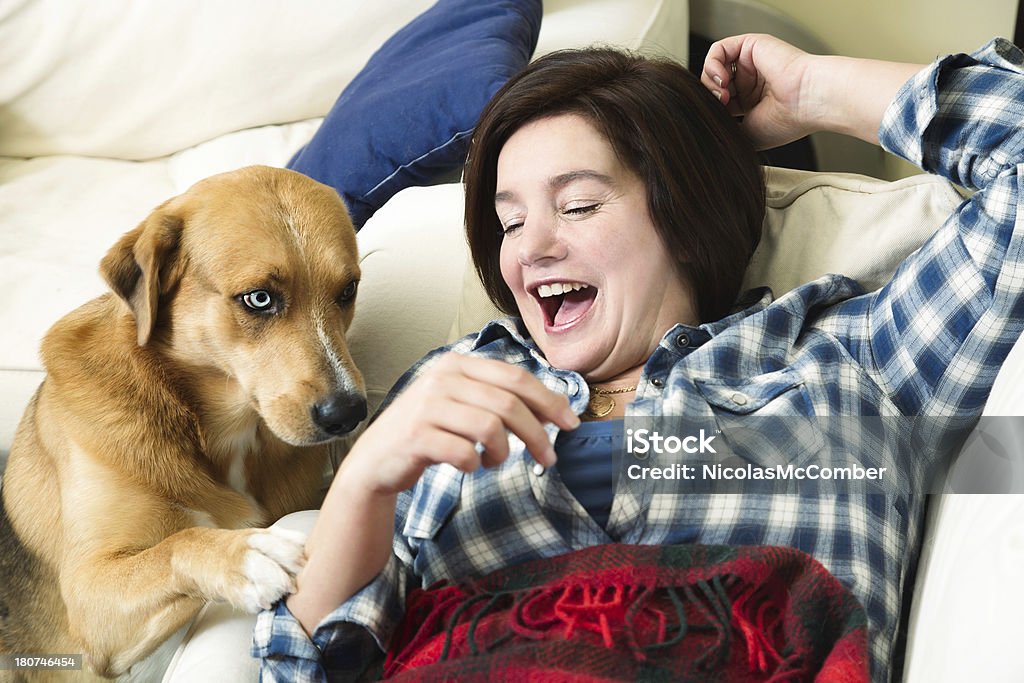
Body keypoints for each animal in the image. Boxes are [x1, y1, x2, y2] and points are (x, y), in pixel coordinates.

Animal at [0, 163, 368, 679]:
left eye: (347, 291)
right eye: (259, 298)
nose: (349, 413)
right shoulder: (91, 596)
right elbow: (178, 544)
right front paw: (244, 553)